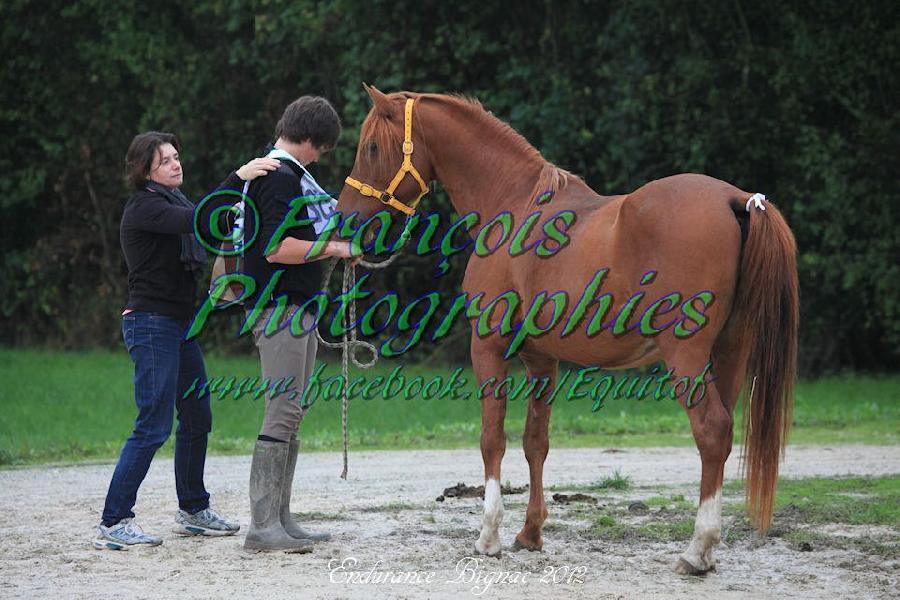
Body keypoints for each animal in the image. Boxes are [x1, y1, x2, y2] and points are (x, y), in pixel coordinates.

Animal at [336, 83, 796, 572]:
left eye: (371, 147)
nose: (343, 217)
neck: (514, 204)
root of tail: (737, 200)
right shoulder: (542, 359)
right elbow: (535, 441)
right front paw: (530, 533)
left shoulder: (488, 347)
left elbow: (491, 440)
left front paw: (489, 536)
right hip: (731, 351)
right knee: (723, 437)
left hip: (686, 355)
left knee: (711, 431)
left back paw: (696, 550)